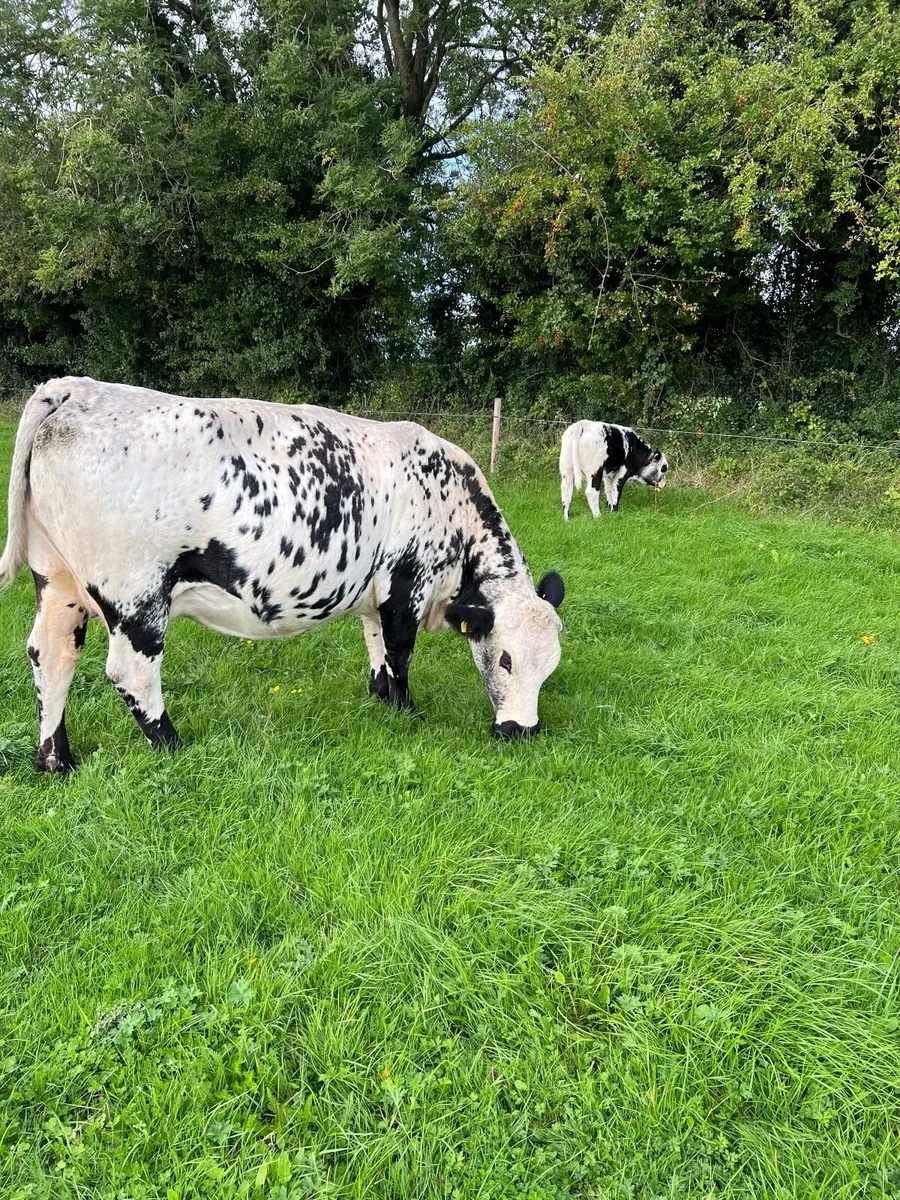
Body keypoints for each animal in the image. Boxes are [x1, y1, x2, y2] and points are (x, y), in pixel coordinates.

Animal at [0, 378, 565, 771]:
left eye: (552, 667)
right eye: (507, 659)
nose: (522, 731)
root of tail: (74, 388)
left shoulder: (374, 590)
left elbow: (377, 646)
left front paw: (380, 697)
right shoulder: (407, 583)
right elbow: (400, 652)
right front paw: (408, 711)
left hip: (58, 580)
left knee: (50, 654)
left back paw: (56, 760)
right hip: (135, 594)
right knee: (130, 672)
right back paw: (172, 744)